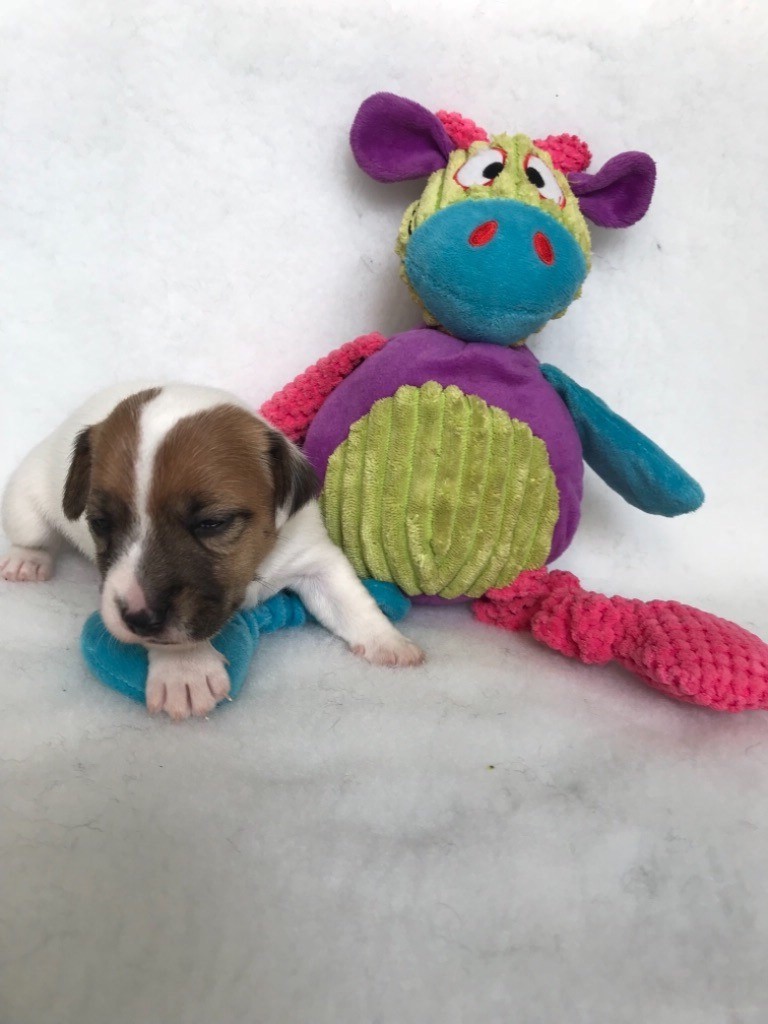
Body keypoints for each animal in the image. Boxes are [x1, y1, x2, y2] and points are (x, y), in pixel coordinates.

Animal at [1, 383, 424, 718]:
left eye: (212, 523)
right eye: (101, 523)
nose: (138, 618)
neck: (254, 568)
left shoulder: (315, 557)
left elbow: (351, 601)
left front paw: (387, 641)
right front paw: (186, 671)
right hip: (26, 503)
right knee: (31, 534)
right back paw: (26, 560)